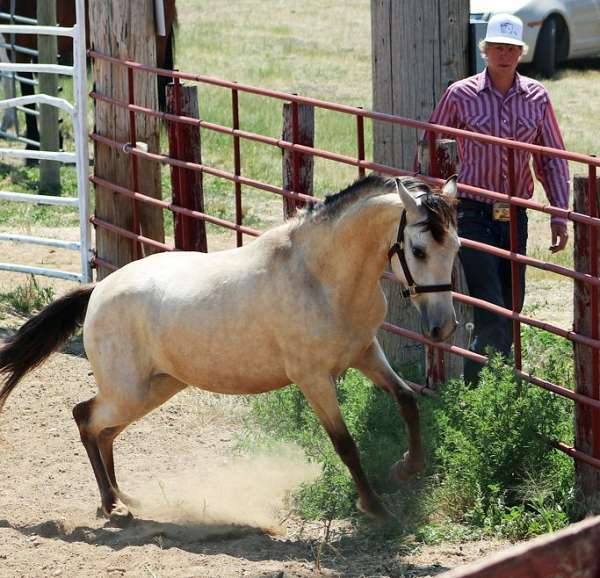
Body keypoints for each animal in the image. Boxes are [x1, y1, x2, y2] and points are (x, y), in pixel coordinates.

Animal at [0, 174, 460, 520]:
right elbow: (344, 443)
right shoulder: (313, 379)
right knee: (84, 418)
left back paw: (122, 498)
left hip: (155, 388)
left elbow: (406, 399)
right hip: (128, 391)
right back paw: (112, 505)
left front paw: (407, 469)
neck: (321, 277)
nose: (443, 328)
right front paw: (374, 506)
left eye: (455, 247)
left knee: (104, 431)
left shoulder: (366, 352)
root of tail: (97, 291)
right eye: (418, 249)